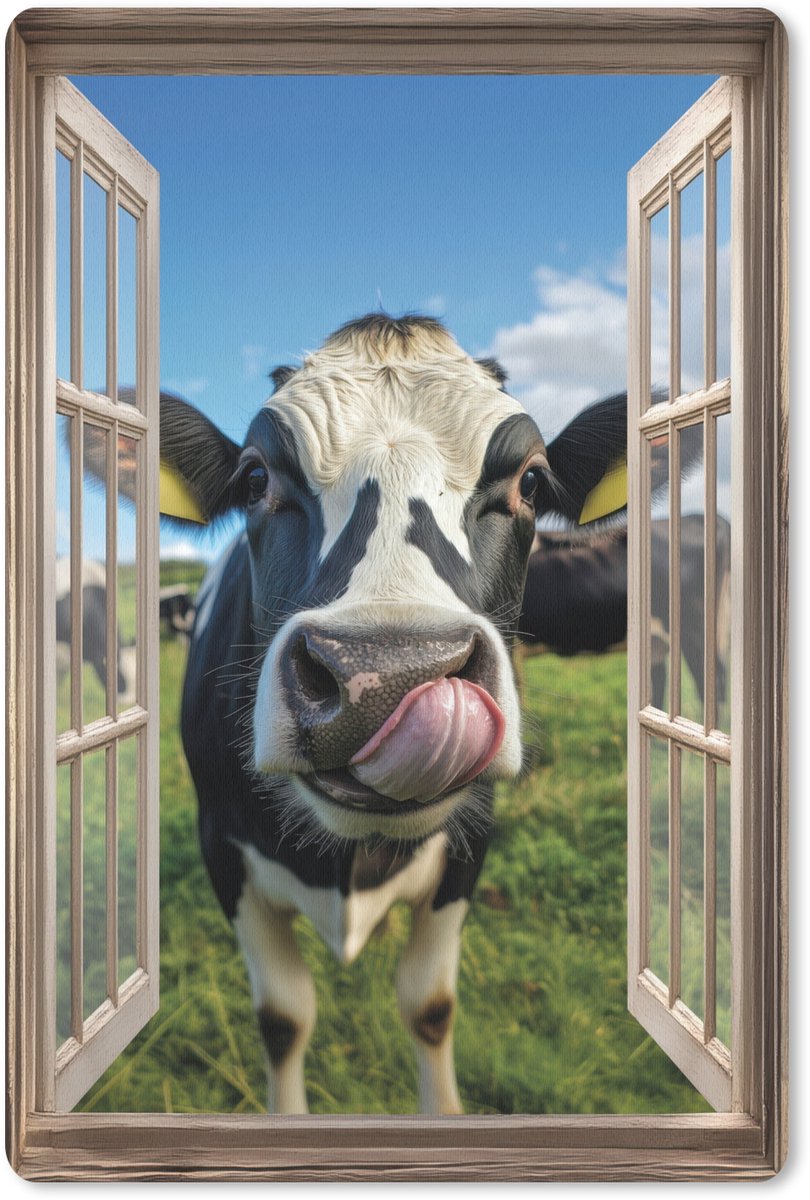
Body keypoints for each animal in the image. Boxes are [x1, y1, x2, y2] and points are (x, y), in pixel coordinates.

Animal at [160, 314, 627, 1114]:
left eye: (531, 479)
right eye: (255, 477)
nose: (386, 677)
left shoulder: (469, 847)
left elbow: (429, 1006)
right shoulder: (221, 845)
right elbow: (283, 1017)